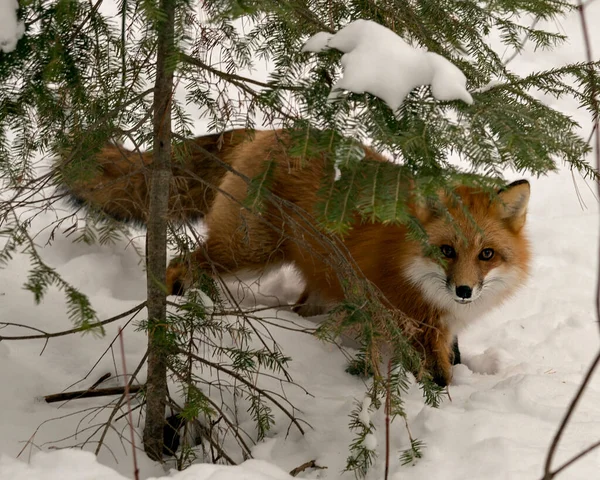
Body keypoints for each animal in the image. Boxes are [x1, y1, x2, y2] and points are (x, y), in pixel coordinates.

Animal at [59, 128, 528, 386]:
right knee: (181, 263)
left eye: (487, 254)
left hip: (318, 283)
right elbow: (431, 377)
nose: (464, 291)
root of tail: (268, 129)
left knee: (298, 309)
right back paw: (177, 304)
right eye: (446, 250)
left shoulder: (439, 329)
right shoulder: (405, 325)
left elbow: (450, 361)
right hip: (248, 251)